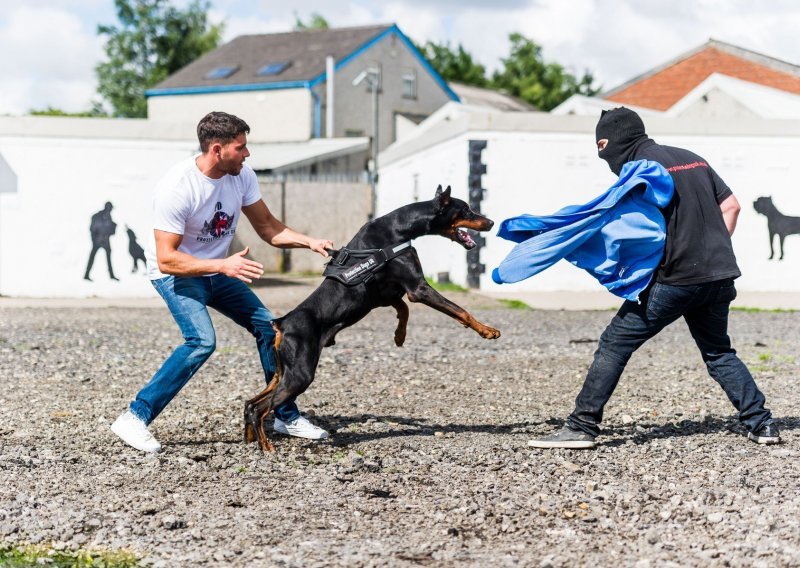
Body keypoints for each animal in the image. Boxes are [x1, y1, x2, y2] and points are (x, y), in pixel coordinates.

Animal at [244, 186, 500, 452]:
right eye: (466, 209)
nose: (492, 222)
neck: (398, 229)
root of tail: (281, 324)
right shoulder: (417, 288)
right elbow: (460, 310)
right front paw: (488, 330)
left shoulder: (384, 294)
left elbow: (404, 309)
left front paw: (399, 337)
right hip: (300, 374)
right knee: (261, 408)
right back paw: (266, 446)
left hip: (282, 372)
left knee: (250, 404)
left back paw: (251, 437)